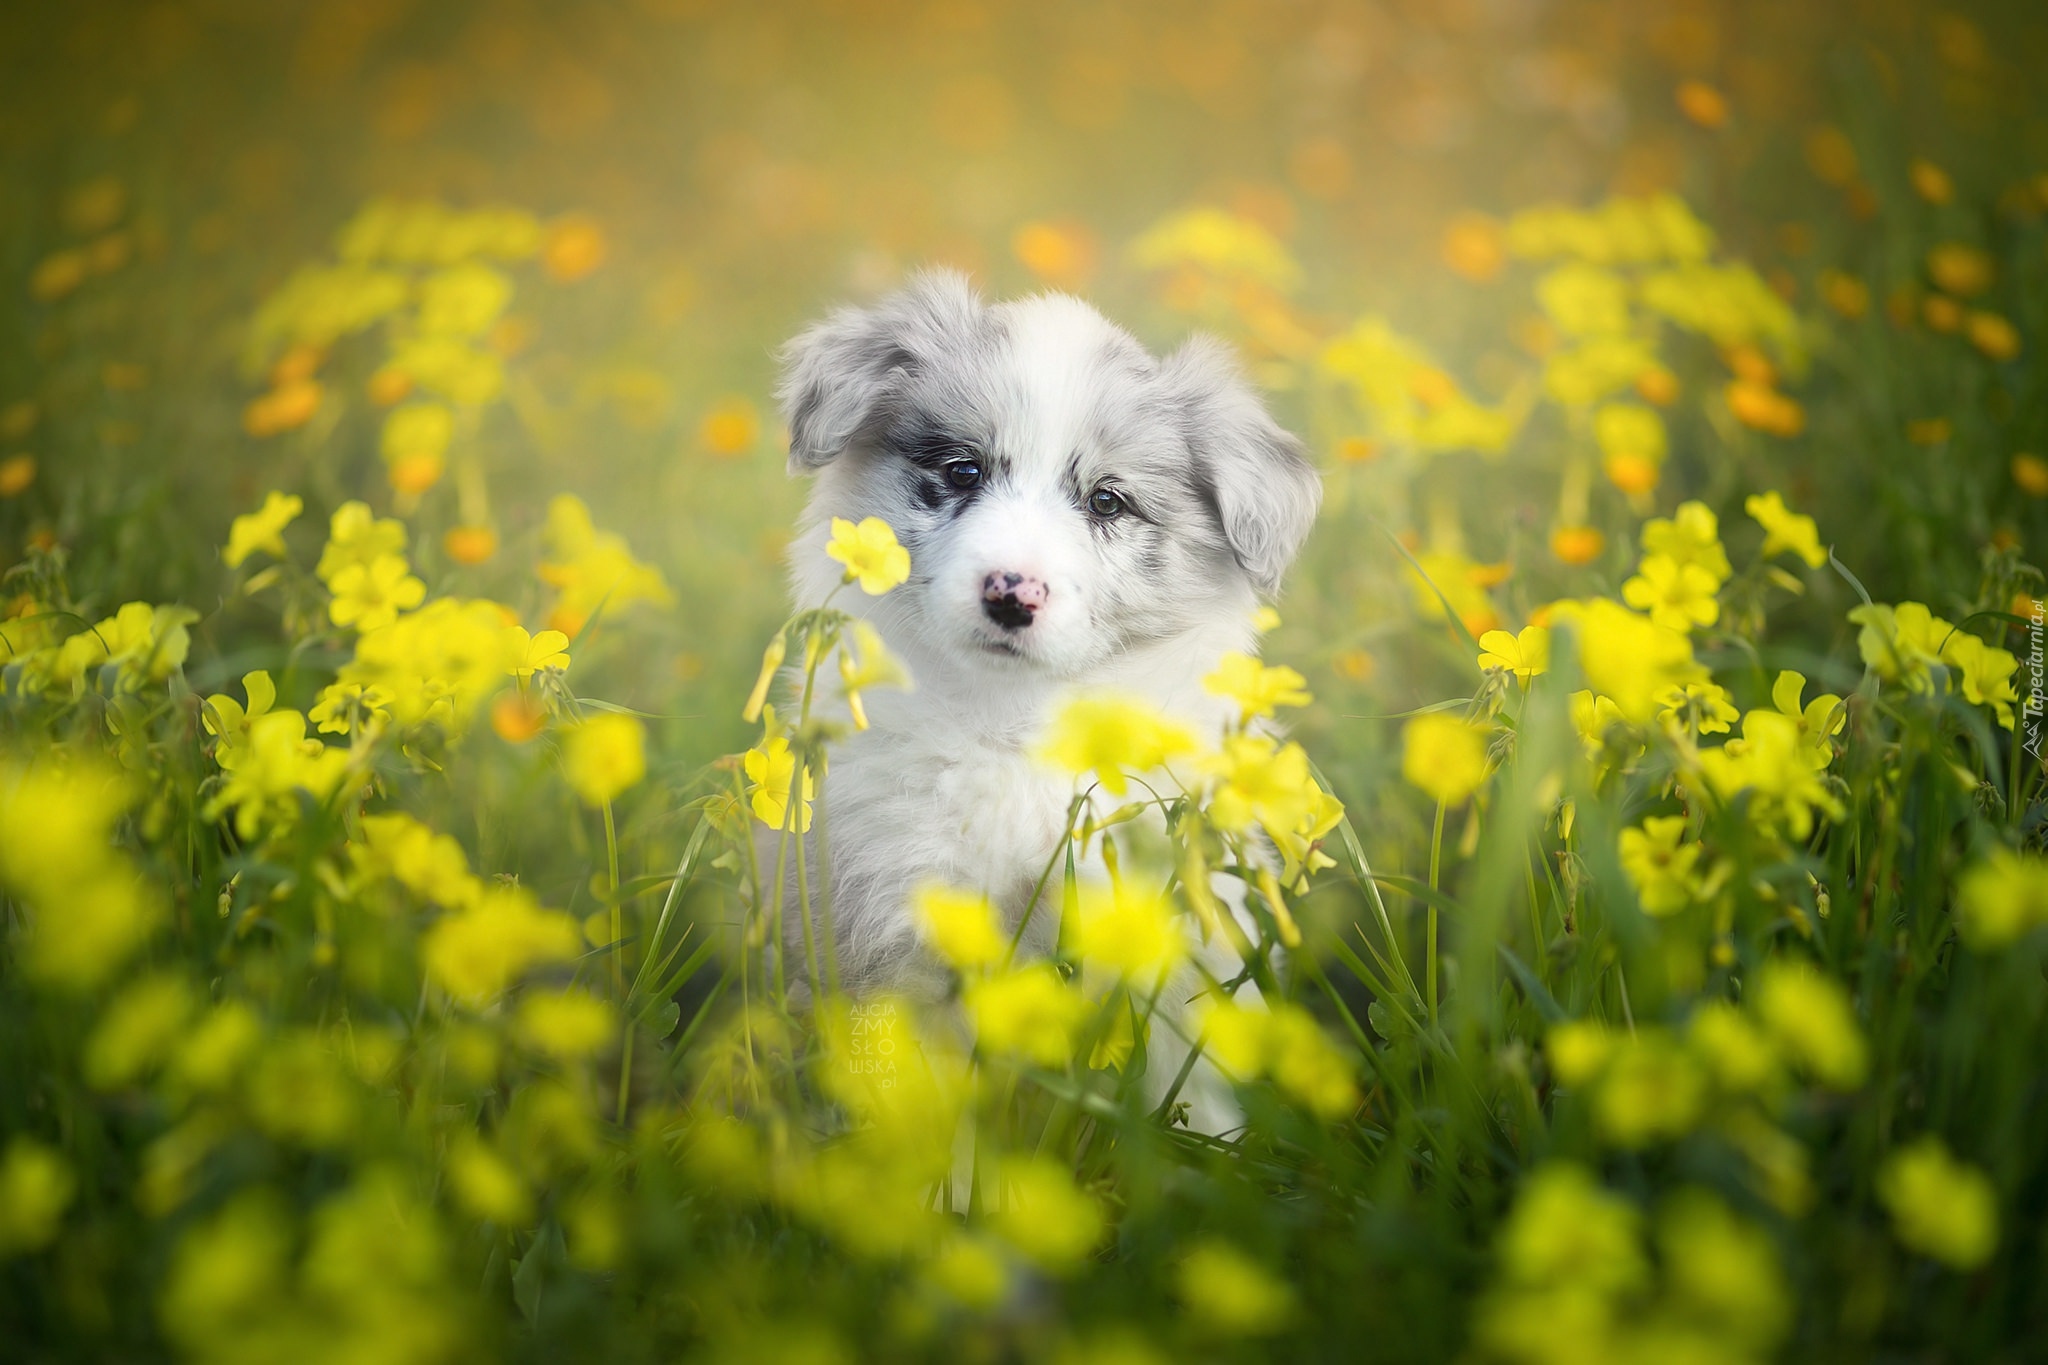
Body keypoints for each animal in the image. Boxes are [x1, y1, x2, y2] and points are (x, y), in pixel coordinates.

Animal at [774, 270, 1318, 1121]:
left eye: (1107, 502)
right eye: (962, 470)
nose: (1011, 592)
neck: (1016, 724)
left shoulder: (1179, 934)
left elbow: (1196, 1093)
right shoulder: (898, 934)